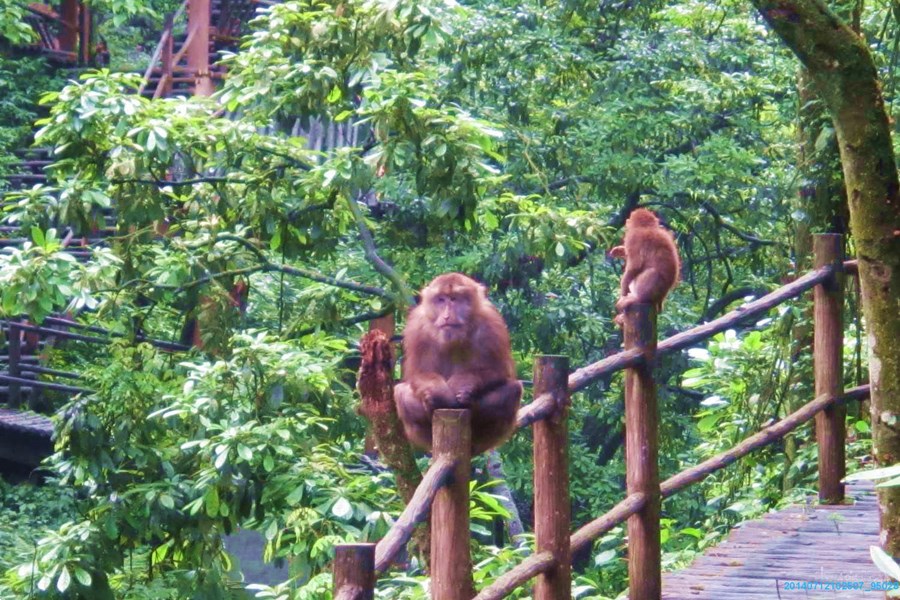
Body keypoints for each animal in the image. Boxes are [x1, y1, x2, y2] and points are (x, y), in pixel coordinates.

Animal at [392, 274, 520, 452]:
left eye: (454, 299)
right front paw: (437, 393)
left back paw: (470, 405)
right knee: (401, 392)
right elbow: (417, 373)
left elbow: (499, 371)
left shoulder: (491, 324)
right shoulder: (417, 328)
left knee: (513, 390)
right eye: (441, 299)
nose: (447, 316)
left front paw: (463, 387)